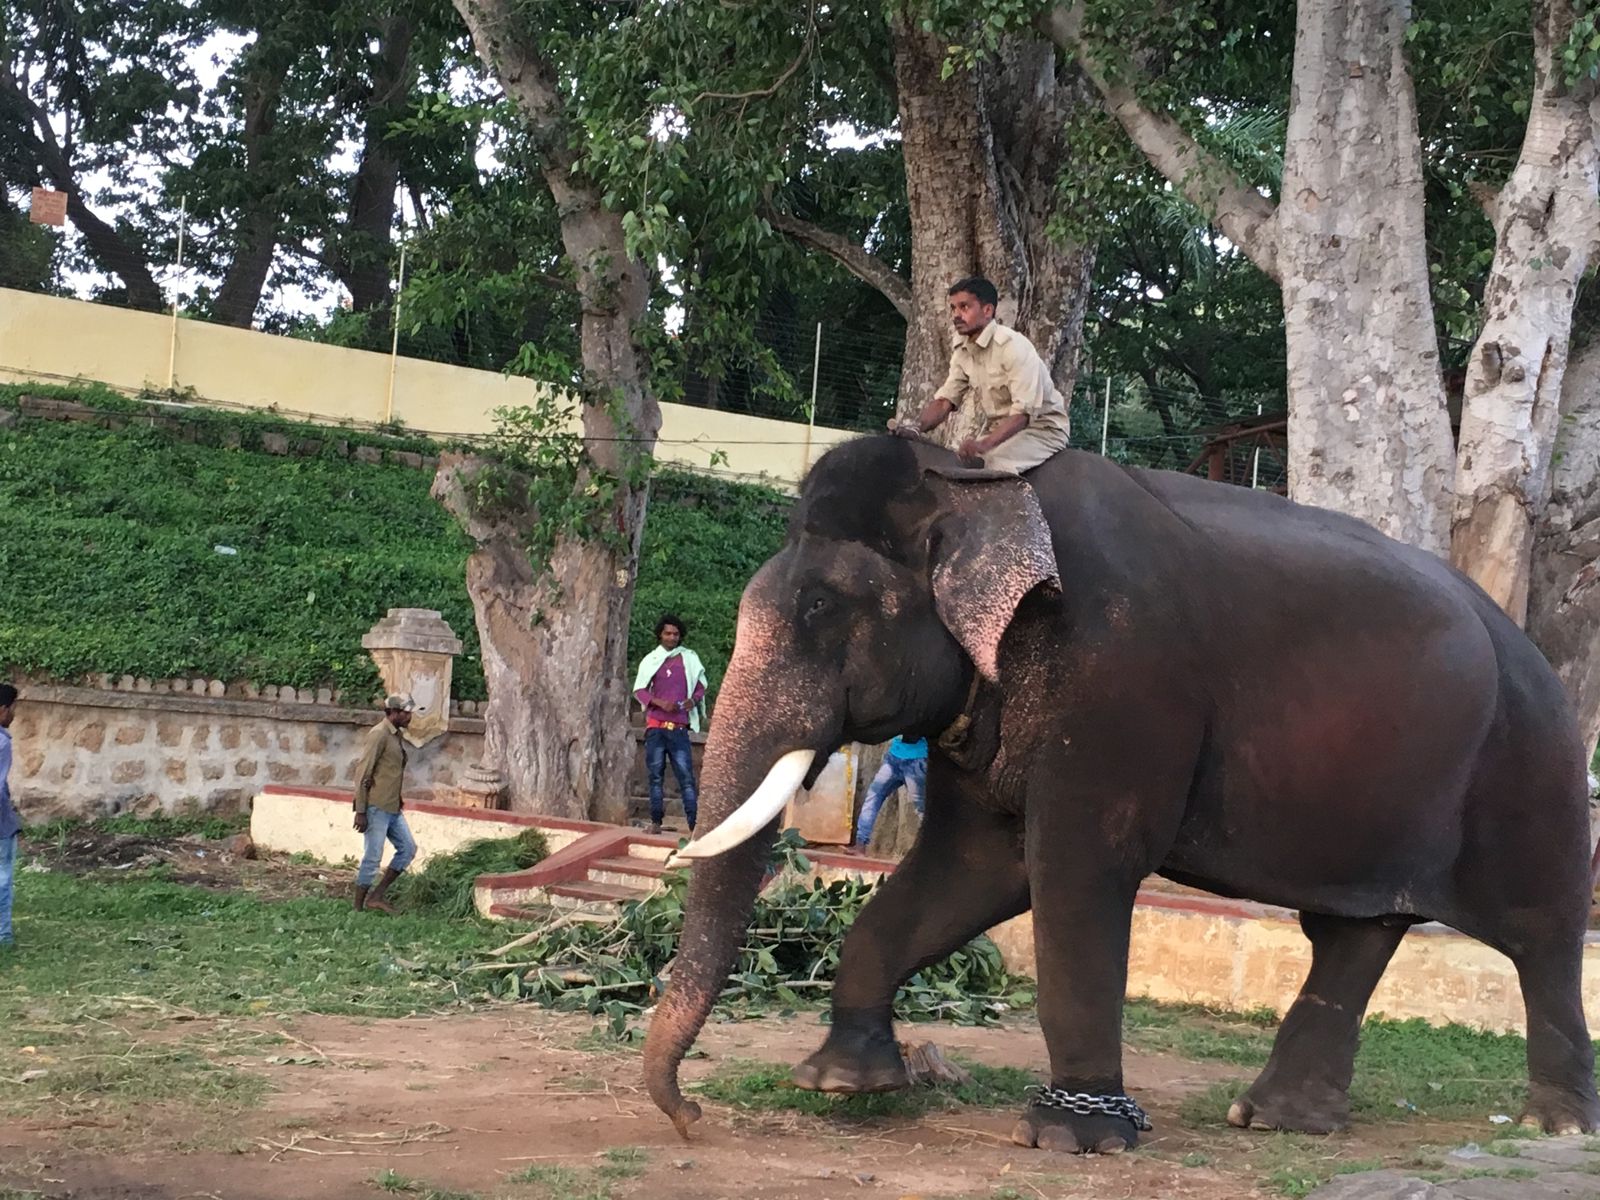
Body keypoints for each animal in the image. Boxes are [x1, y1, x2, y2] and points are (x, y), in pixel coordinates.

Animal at [636, 435, 1600, 1158]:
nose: (691, 1120)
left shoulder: (1120, 680)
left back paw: (1554, 1126)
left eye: (821, 606)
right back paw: (1277, 1120)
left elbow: (1075, 869)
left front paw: (1073, 1137)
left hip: (1531, 765)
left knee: (1540, 936)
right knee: (1355, 933)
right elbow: (973, 866)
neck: (975, 484)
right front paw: (844, 1082)